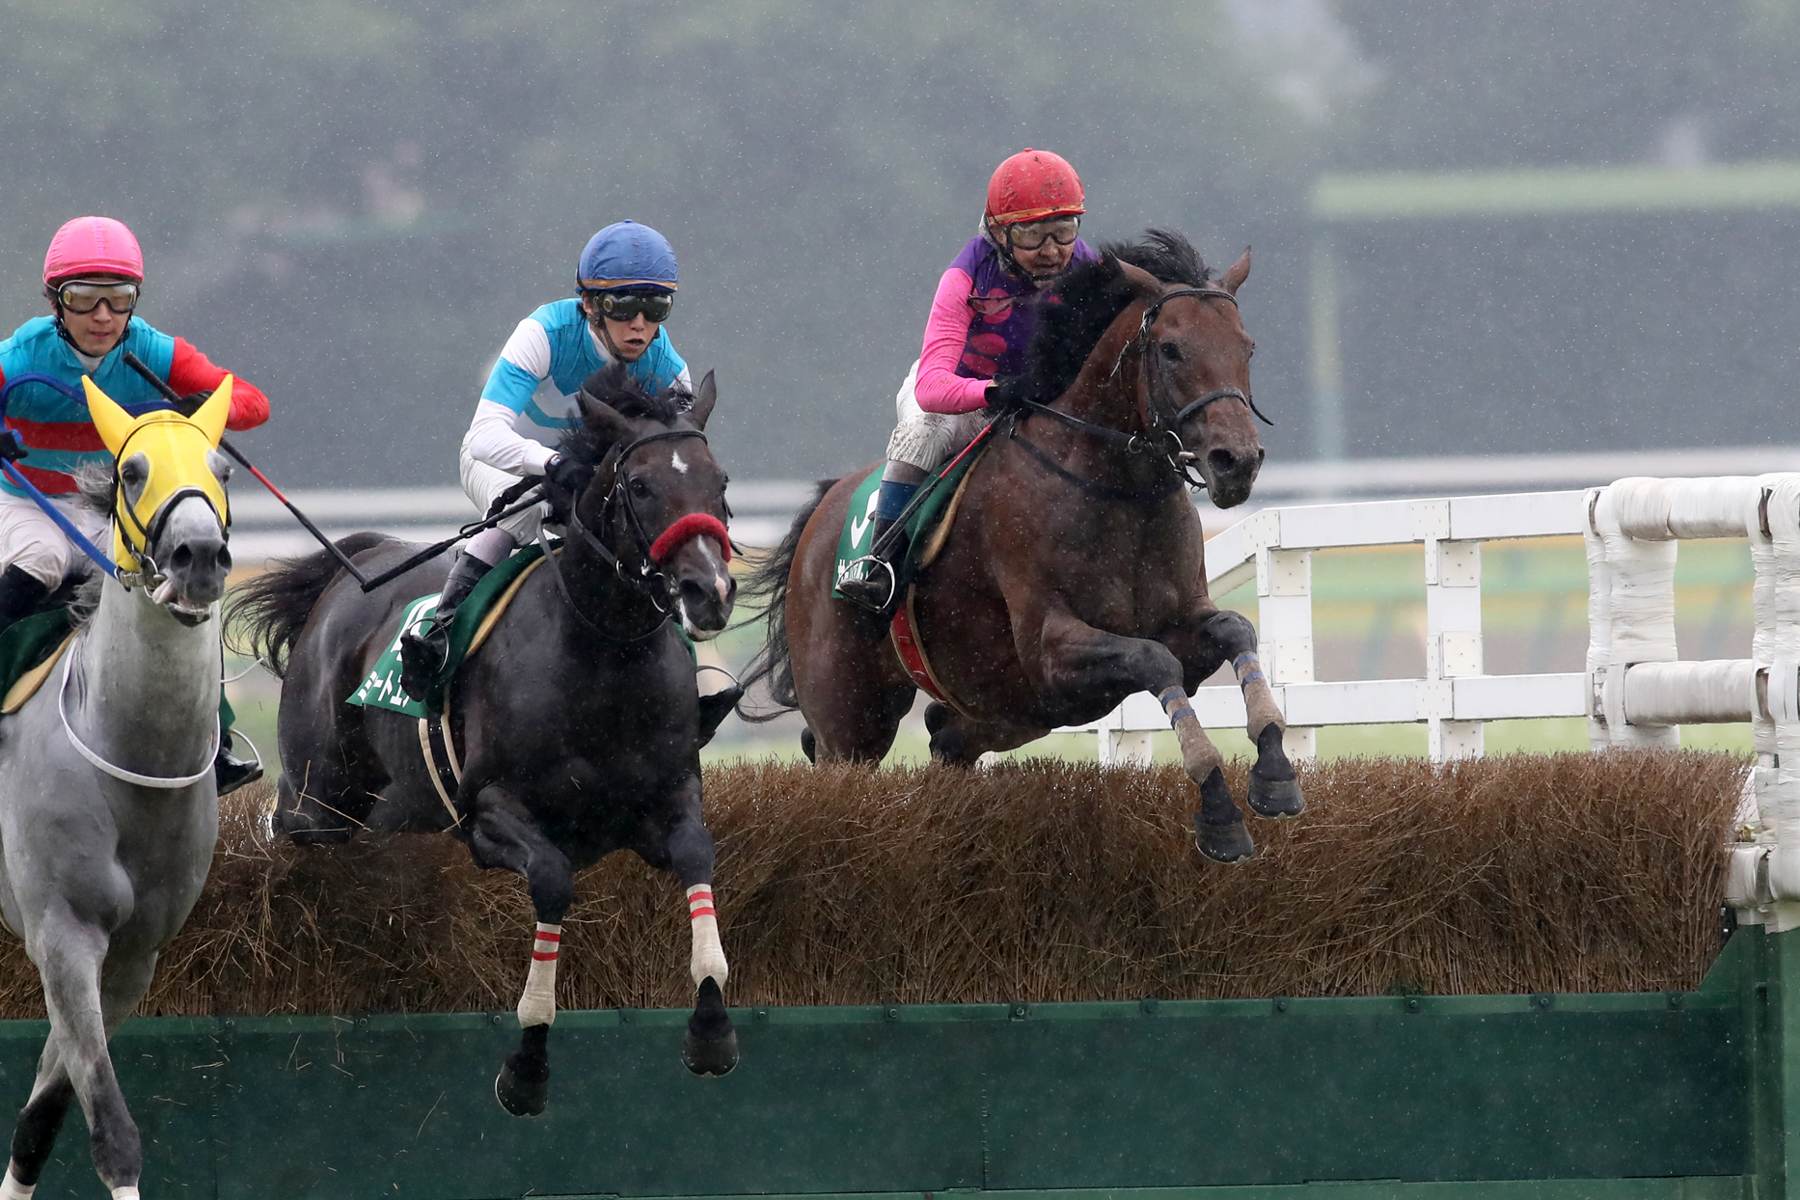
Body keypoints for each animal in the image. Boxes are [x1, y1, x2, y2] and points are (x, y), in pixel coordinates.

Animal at [0, 383, 235, 1200]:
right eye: (132, 471)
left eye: (221, 466)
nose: (200, 557)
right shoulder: (62, 933)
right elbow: (112, 1128)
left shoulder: (135, 957)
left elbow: (42, 1118)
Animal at [232, 367, 738, 1115]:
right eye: (642, 485)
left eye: (720, 480)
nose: (711, 591)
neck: (603, 653)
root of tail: (354, 570)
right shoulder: (490, 813)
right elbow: (553, 880)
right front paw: (526, 1066)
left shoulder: (662, 801)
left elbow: (698, 855)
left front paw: (710, 1030)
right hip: (319, 797)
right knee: (290, 830)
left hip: (396, 815)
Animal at [738, 227, 1303, 863]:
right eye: (1171, 350)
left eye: (1247, 347)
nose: (1237, 462)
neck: (1117, 488)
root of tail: (821, 513)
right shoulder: (1050, 647)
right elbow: (1153, 660)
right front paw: (1218, 810)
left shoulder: (1179, 619)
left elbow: (1235, 629)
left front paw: (1276, 775)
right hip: (852, 719)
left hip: (1005, 710)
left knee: (944, 738)